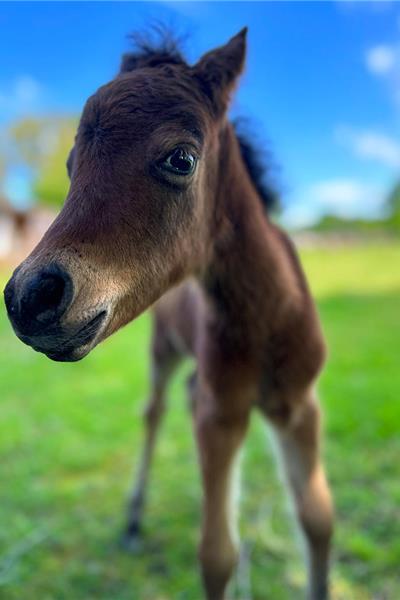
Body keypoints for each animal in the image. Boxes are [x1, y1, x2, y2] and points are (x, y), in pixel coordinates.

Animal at [4, 28, 332, 600]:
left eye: (181, 159)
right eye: (71, 166)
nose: (30, 296)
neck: (269, 318)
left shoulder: (300, 404)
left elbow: (317, 520)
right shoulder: (221, 413)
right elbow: (217, 554)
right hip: (163, 349)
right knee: (154, 411)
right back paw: (134, 518)